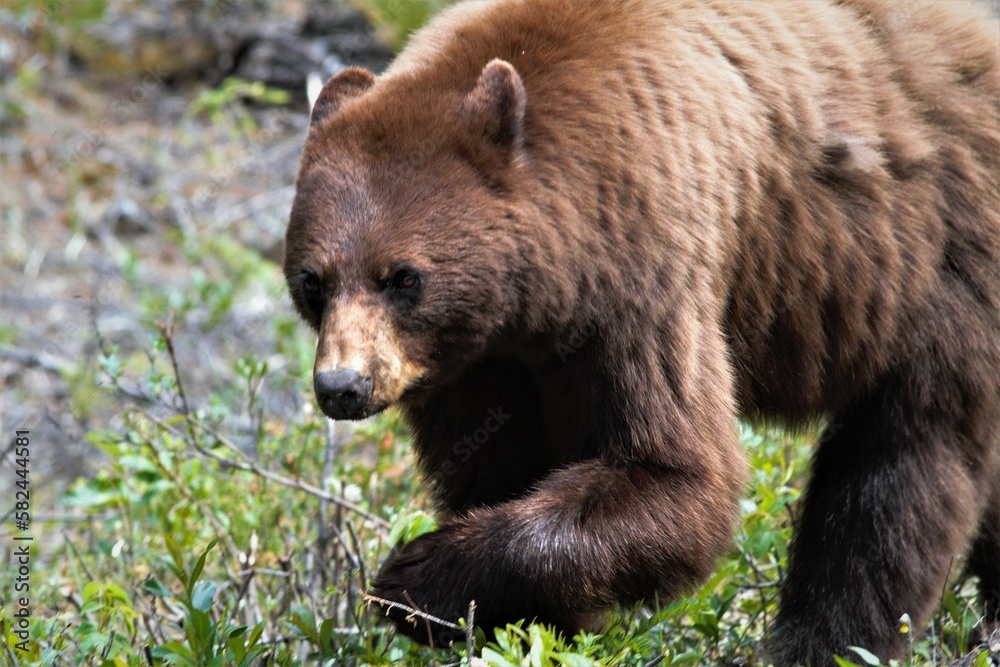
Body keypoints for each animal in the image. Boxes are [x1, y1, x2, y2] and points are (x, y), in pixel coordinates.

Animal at [282, 1, 1000, 664]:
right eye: (313, 281)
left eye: (403, 277)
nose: (343, 385)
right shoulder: (472, 360)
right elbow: (496, 466)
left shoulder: (643, 268)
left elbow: (676, 474)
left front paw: (415, 579)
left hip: (937, 265)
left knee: (902, 465)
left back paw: (828, 642)